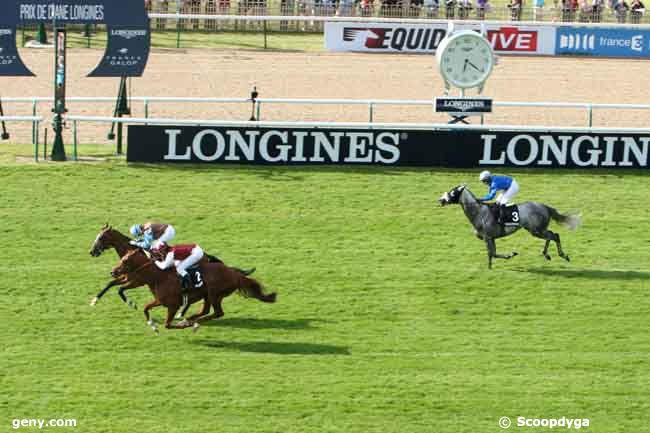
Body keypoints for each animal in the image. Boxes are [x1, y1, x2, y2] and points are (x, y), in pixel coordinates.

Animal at [110, 248, 274, 330]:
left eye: (125, 260)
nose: (113, 271)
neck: (158, 276)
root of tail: (234, 274)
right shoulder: (160, 301)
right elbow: (145, 308)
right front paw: (153, 325)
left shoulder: (173, 305)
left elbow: (168, 325)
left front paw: (181, 324)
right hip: (208, 295)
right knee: (206, 311)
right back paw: (190, 319)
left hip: (215, 294)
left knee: (217, 313)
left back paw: (190, 321)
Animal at [438, 184, 580, 268]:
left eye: (453, 192)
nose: (441, 200)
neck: (479, 212)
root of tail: (544, 206)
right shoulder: (491, 237)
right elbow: (494, 253)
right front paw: (507, 256)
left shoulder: (487, 237)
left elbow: (491, 253)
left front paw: (492, 265)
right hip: (537, 230)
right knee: (552, 235)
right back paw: (547, 254)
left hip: (536, 230)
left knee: (554, 235)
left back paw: (561, 255)